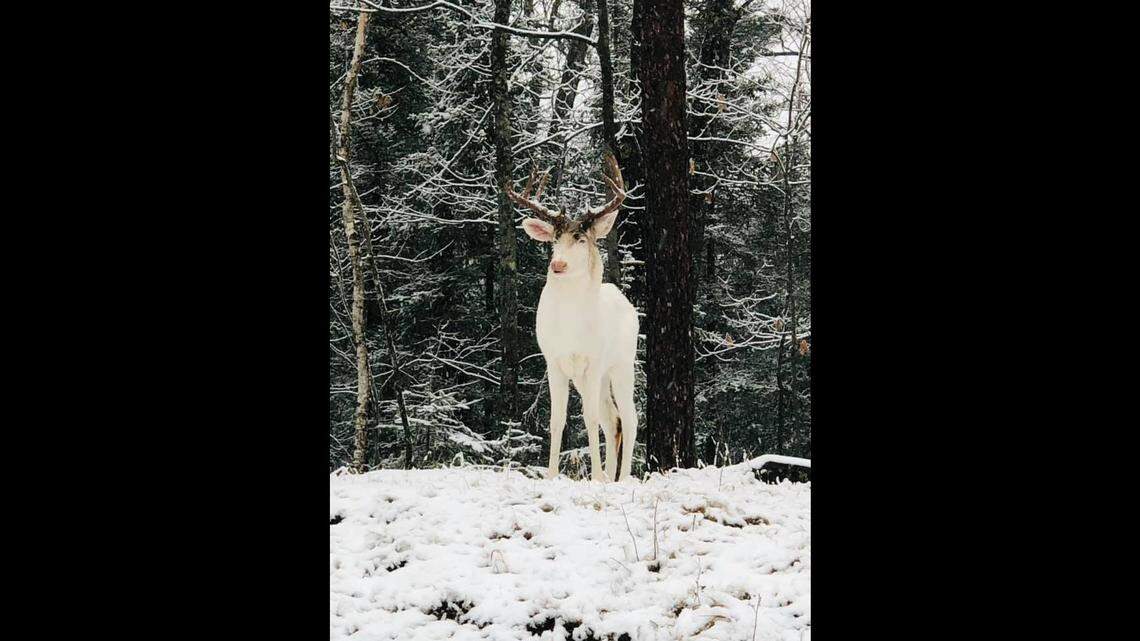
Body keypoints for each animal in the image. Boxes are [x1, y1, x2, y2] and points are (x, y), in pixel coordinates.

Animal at [504, 152, 638, 482]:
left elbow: (588, 417)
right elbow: (557, 419)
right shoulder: (554, 361)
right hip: (592, 377)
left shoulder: (593, 360)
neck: (571, 329)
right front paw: (552, 475)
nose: (558, 265)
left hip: (621, 364)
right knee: (613, 418)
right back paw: (612, 476)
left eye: (580, 239)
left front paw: (596, 477)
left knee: (629, 417)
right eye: (554, 239)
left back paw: (622, 477)